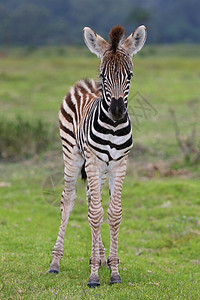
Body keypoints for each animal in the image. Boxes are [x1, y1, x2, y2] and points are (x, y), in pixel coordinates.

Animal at [49, 24, 146, 288]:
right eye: (104, 76)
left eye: (130, 76)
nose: (117, 111)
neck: (112, 127)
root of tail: (84, 83)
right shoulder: (93, 161)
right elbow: (95, 214)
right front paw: (93, 275)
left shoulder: (119, 164)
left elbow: (113, 213)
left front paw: (113, 269)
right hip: (72, 155)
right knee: (69, 199)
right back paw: (55, 262)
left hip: (100, 169)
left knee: (92, 197)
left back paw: (101, 258)